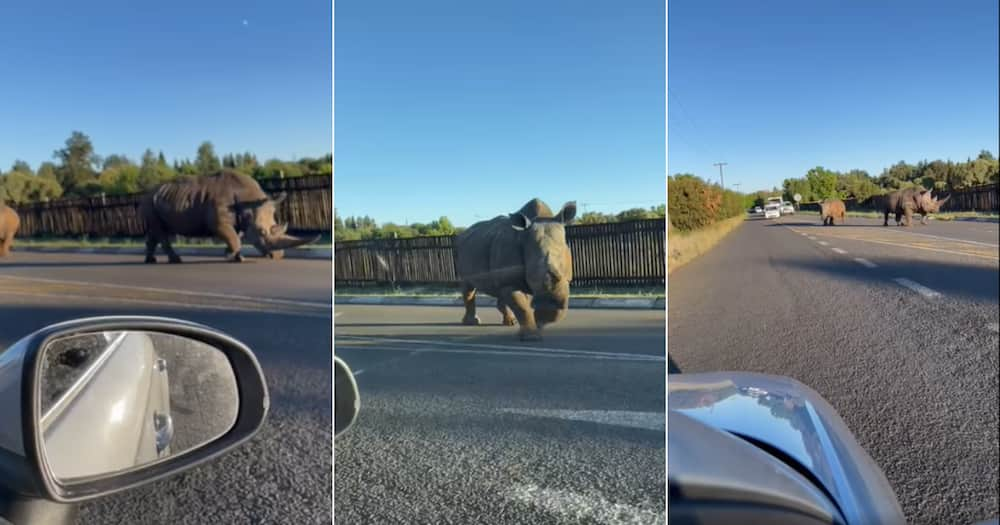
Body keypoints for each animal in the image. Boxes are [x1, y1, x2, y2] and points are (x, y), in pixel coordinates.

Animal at [141, 170, 316, 264]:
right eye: (262, 232)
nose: (279, 256)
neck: (248, 203)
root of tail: (148, 192)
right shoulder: (218, 222)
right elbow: (234, 238)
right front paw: (229, 254)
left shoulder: (239, 220)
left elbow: (236, 237)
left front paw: (237, 257)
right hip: (150, 202)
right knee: (160, 231)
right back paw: (175, 260)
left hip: (159, 200)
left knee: (156, 231)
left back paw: (151, 260)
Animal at [456, 199, 580, 342]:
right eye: (533, 278)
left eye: (563, 270)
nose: (547, 306)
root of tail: (463, 233)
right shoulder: (512, 281)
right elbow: (522, 307)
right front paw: (532, 337)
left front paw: (540, 323)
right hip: (464, 251)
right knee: (468, 288)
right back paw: (472, 322)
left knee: (498, 290)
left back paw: (510, 322)